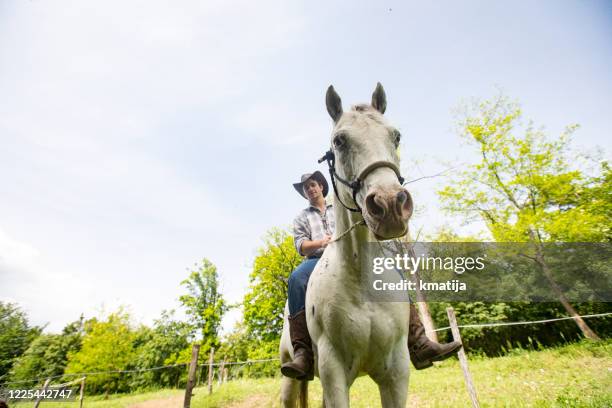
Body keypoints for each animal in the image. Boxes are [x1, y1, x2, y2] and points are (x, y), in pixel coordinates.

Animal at [282, 84, 416, 406]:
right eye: (339, 141)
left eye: (396, 136)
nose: (390, 205)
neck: (363, 282)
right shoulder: (333, 371)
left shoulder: (397, 372)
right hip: (290, 377)